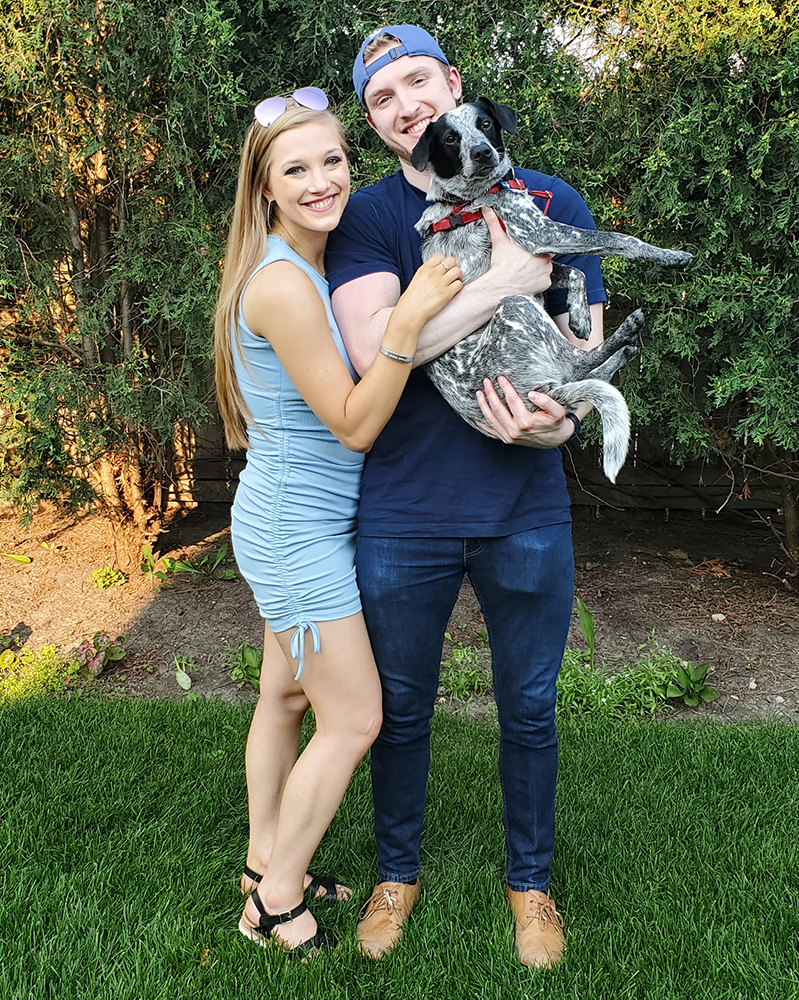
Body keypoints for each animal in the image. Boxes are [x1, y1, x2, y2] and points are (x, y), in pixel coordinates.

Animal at [412, 96, 692, 480]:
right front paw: (668, 255)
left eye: (485, 123)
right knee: (578, 364)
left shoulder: (541, 259)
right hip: (516, 306)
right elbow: (619, 238)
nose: (482, 152)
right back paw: (624, 334)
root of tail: (535, 397)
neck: (466, 201)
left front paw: (580, 317)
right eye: (451, 139)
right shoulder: (542, 233)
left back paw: (621, 352)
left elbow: (576, 273)